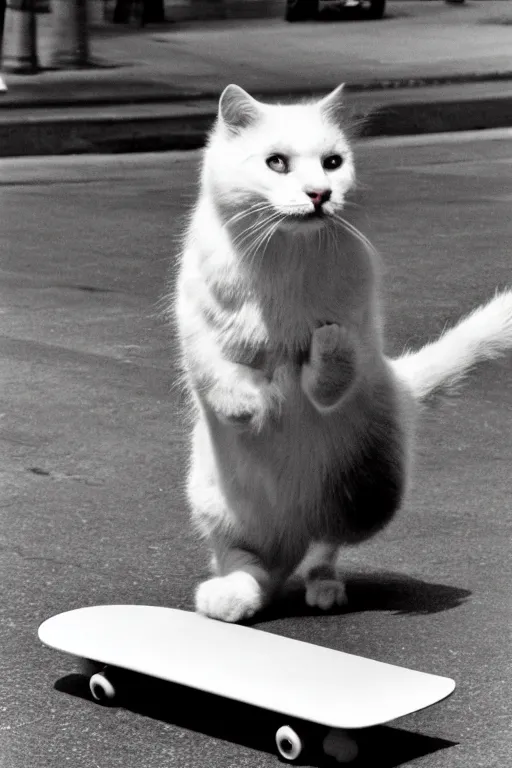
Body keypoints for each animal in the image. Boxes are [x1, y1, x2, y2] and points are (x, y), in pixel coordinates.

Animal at [174, 84, 510, 624]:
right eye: (276, 162)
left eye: (333, 162)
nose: (320, 193)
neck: (284, 257)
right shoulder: (194, 319)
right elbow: (215, 371)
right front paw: (249, 406)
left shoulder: (359, 324)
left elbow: (332, 371)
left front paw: (322, 348)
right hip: (216, 506)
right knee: (249, 564)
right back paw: (231, 597)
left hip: (368, 494)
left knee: (324, 546)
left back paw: (323, 588)